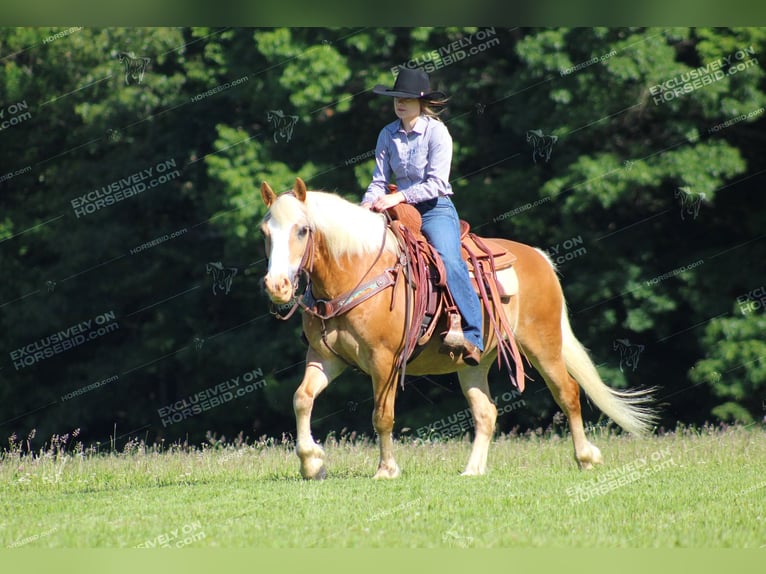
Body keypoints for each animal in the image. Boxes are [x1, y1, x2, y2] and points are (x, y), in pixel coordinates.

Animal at [260, 178, 656, 480]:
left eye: (303, 230)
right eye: (266, 232)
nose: (277, 285)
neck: (356, 271)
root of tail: (539, 257)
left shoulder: (383, 362)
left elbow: (382, 416)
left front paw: (386, 470)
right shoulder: (325, 358)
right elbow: (302, 398)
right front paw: (312, 464)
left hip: (543, 345)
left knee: (568, 393)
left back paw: (586, 457)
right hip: (474, 362)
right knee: (486, 413)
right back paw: (473, 470)